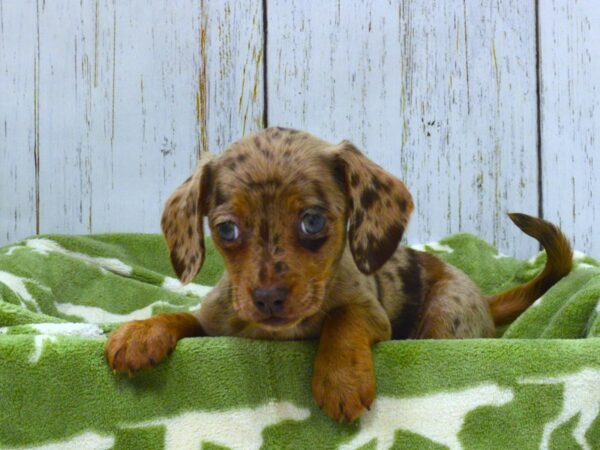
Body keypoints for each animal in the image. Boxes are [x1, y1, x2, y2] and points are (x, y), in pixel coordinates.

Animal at [105, 126, 576, 422]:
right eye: (226, 230)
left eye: (312, 222)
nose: (269, 299)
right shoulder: (215, 324)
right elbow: (182, 317)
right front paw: (141, 333)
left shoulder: (371, 313)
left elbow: (342, 317)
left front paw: (340, 380)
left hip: (447, 317)